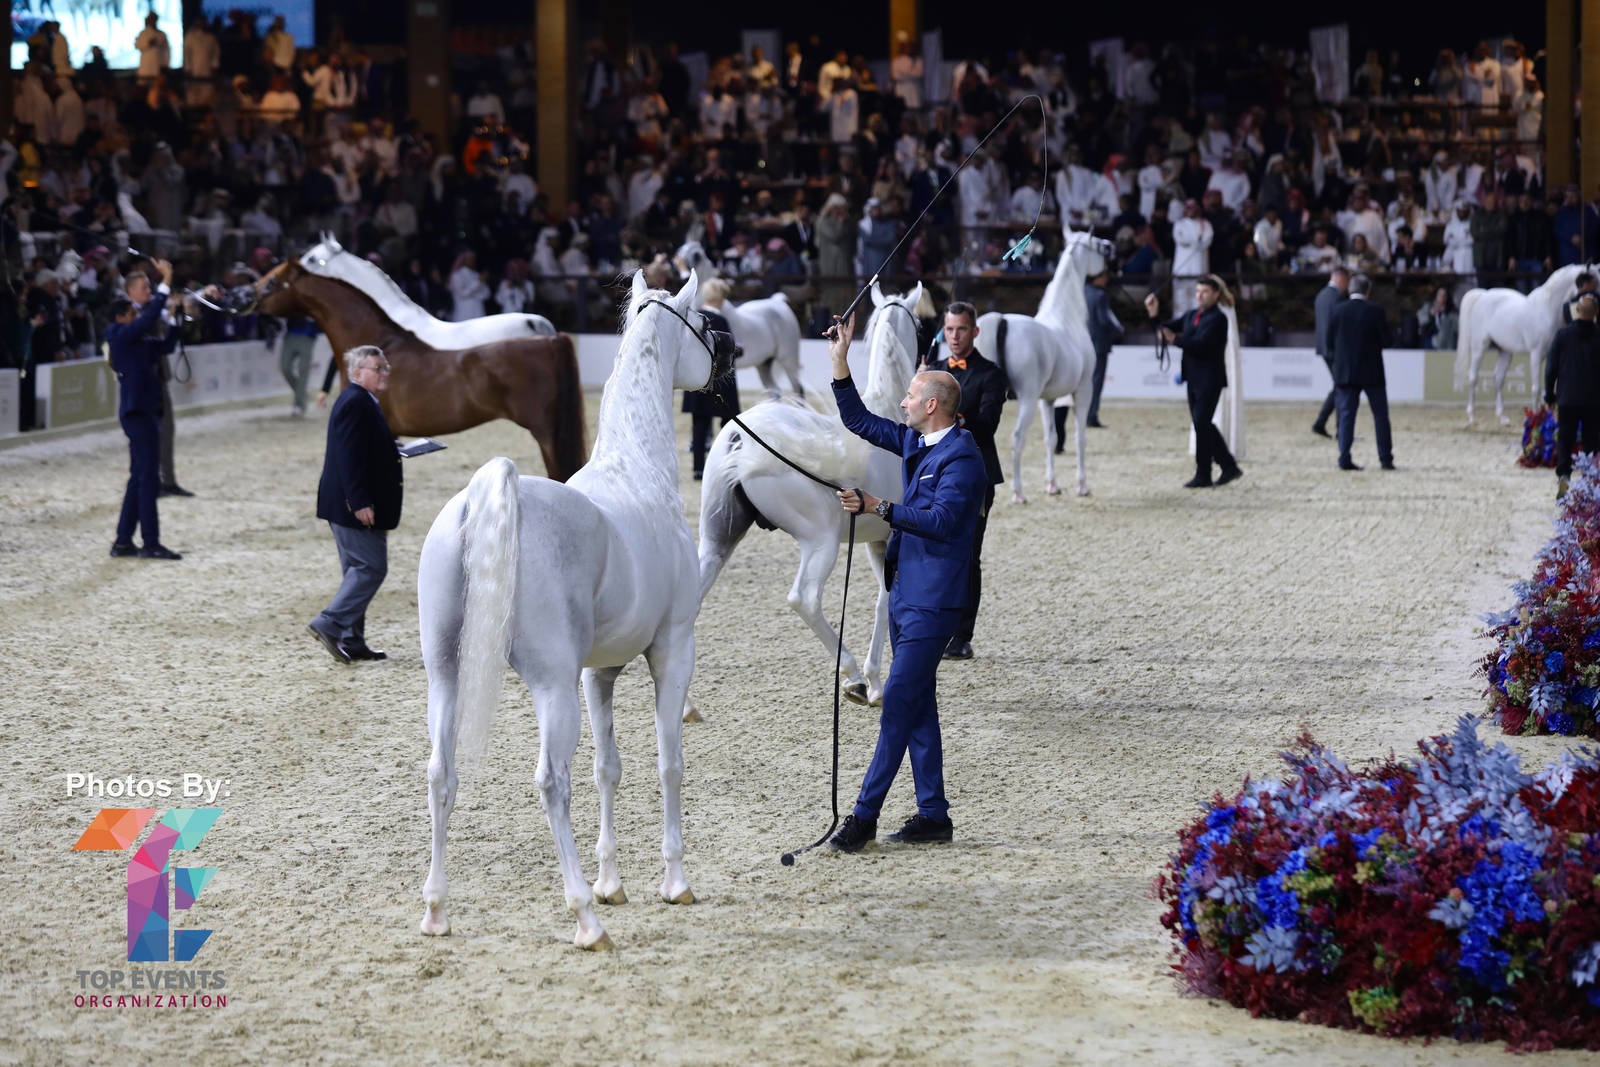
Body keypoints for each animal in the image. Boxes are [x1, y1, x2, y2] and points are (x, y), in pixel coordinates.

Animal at [415, 269, 732, 950]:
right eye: (704, 322)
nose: (727, 359)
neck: (636, 470)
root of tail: (484, 499)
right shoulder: (672, 651)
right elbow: (668, 763)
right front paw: (672, 882)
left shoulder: (598, 673)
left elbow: (607, 768)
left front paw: (615, 882)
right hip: (550, 686)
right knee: (549, 782)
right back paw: (585, 917)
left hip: (445, 678)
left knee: (440, 774)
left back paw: (436, 910)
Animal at [674, 240, 805, 396]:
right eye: (680, 251)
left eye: (696, 255)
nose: (681, 273)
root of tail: (779, 303)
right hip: (764, 364)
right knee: (774, 390)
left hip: (788, 360)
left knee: (798, 390)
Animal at [686, 282, 924, 720]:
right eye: (919, 323)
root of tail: (741, 437)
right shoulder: (890, 539)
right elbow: (884, 602)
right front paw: (874, 683)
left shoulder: (877, 543)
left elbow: (884, 600)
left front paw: (878, 681)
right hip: (821, 541)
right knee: (805, 599)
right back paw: (852, 676)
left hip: (717, 538)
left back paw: (685, 707)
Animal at [975, 231, 1110, 502]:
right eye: (1098, 246)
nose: (1110, 246)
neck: (1066, 318)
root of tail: (1002, 321)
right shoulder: (1083, 391)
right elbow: (1080, 438)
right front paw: (1082, 486)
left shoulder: (1047, 400)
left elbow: (1051, 438)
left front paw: (1053, 485)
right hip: (1027, 398)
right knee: (1017, 438)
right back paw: (1018, 492)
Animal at [1456, 263, 1588, 427]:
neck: (1548, 309)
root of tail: (1483, 294)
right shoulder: (1536, 354)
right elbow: (1536, 388)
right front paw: (1537, 420)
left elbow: (1549, 387)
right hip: (1479, 348)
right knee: (1473, 377)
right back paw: (1472, 417)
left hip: (1505, 351)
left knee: (1498, 379)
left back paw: (1503, 417)